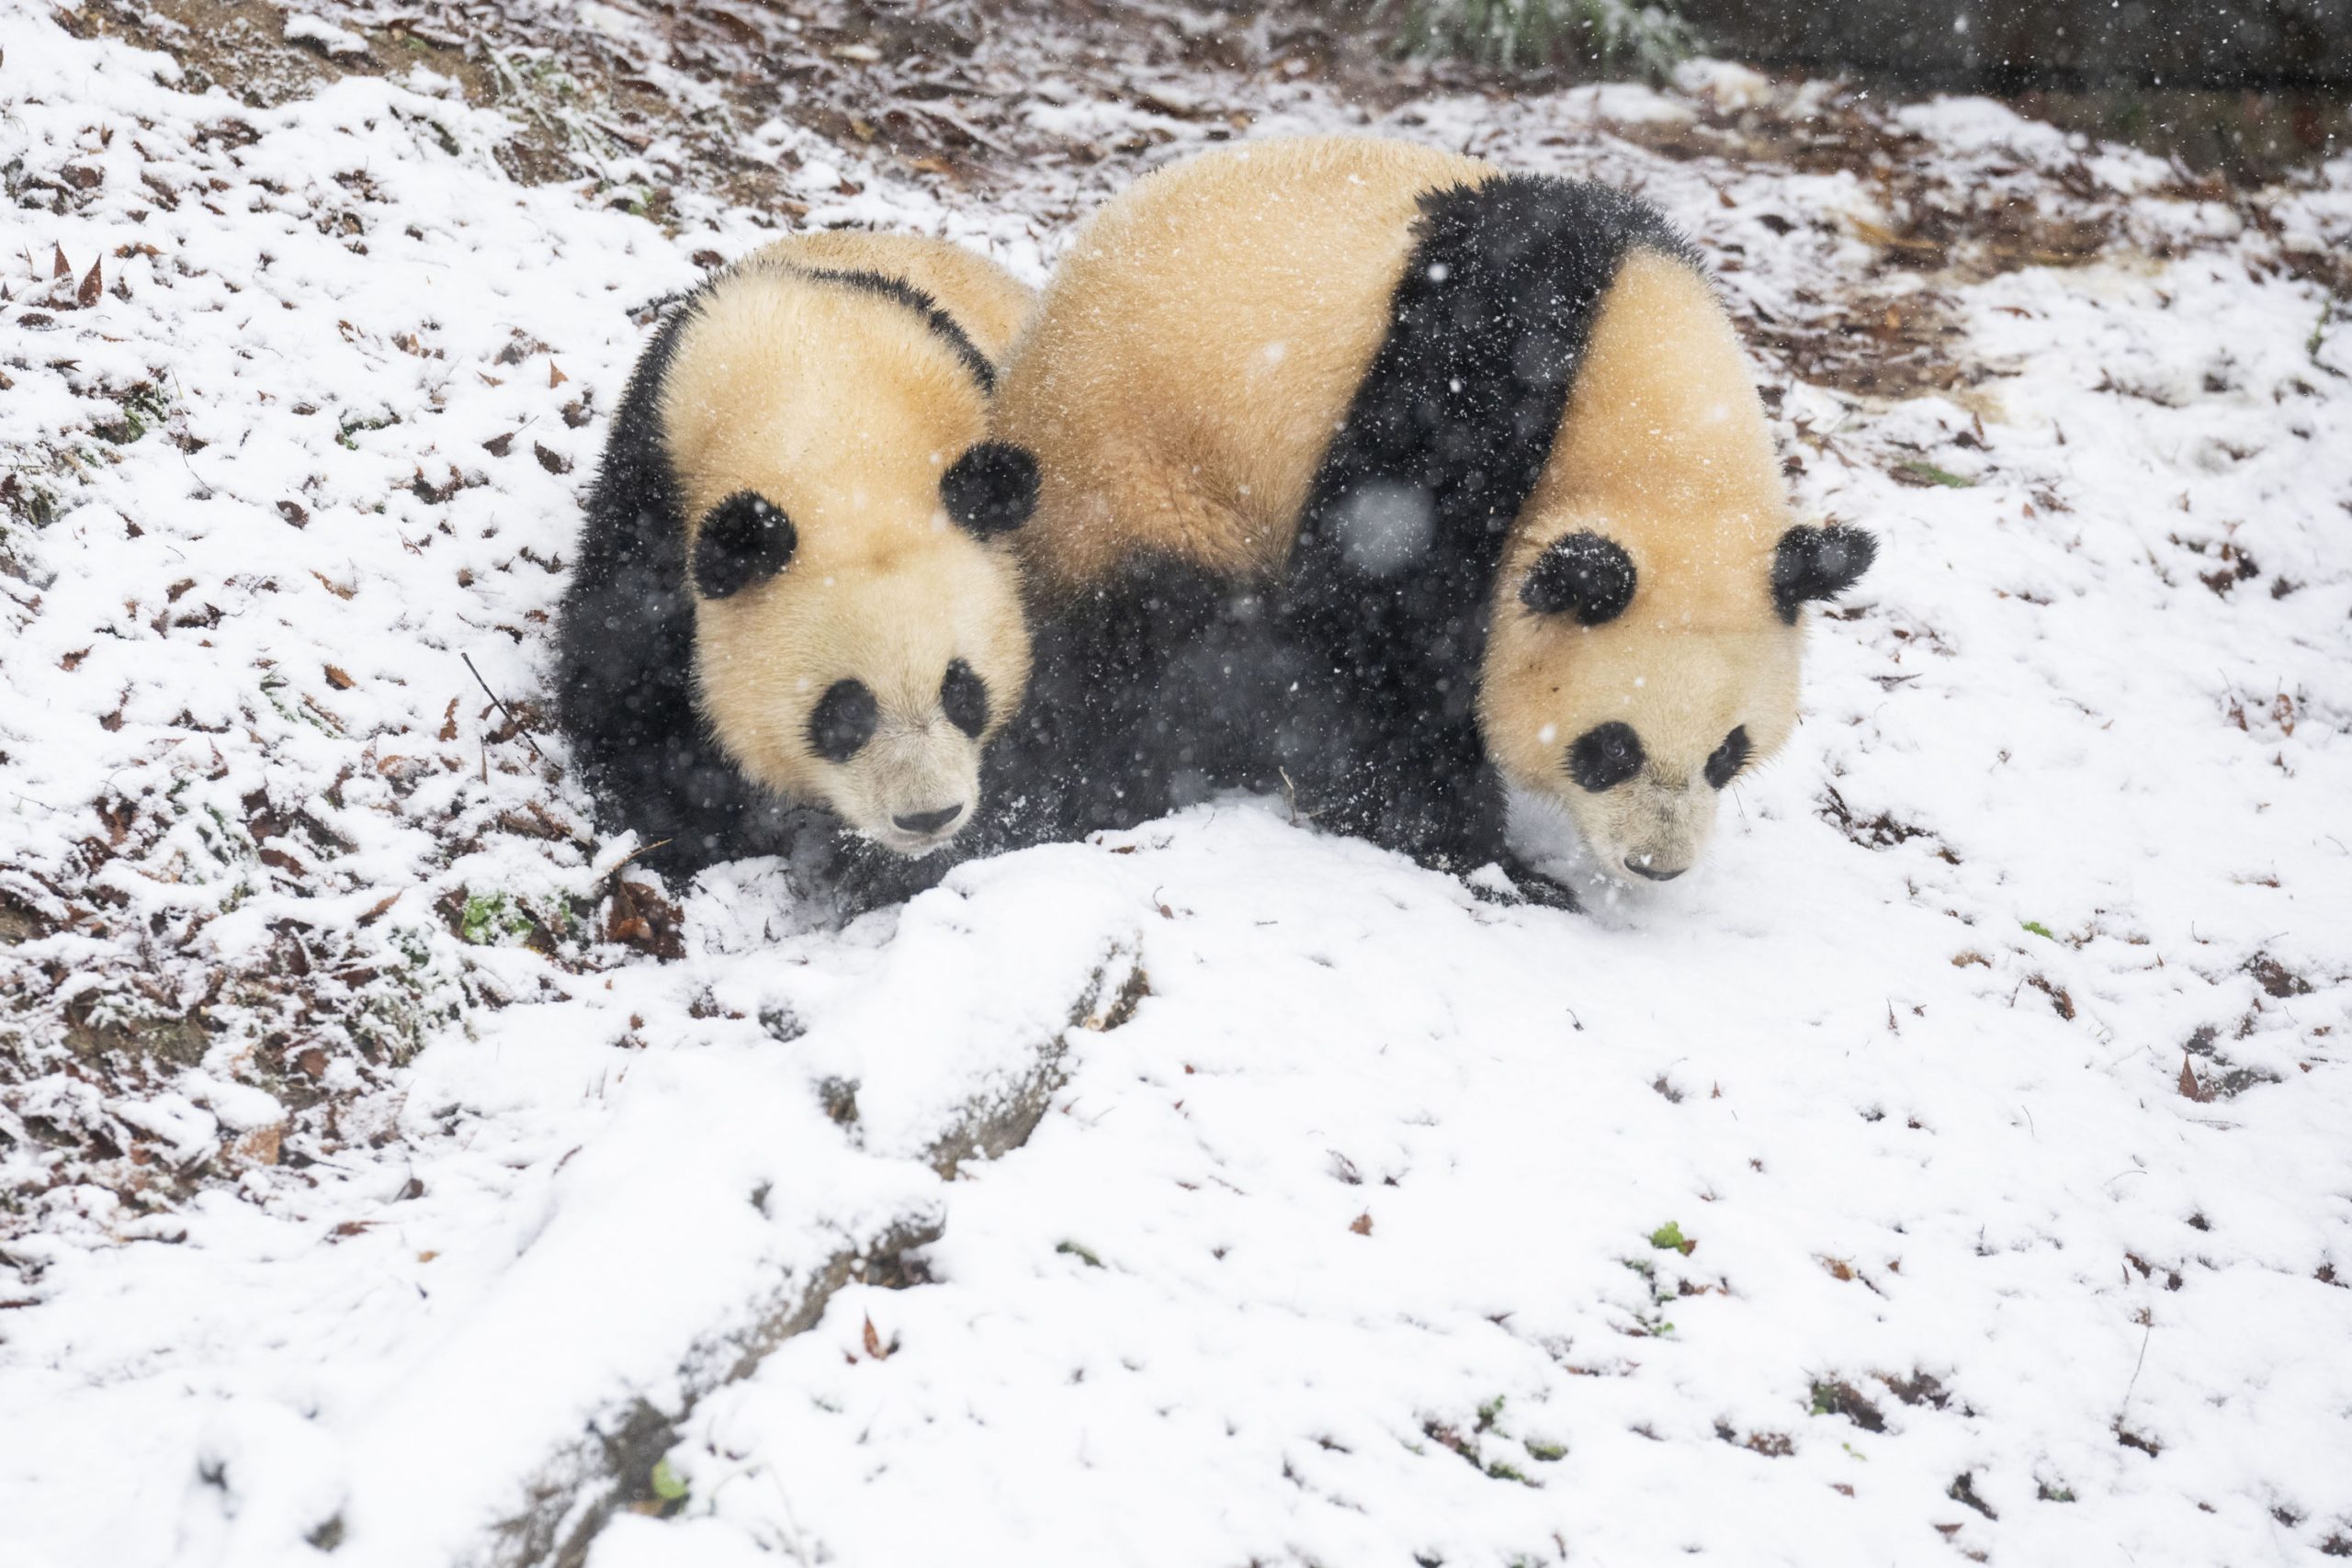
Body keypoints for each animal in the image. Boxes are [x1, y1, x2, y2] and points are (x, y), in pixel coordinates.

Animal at [555, 234, 1044, 893]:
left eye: (964, 690)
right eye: (844, 711)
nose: (928, 816)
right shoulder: (654, 473)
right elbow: (625, 671)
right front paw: (693, 832)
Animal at [988, 136, 1871, 907]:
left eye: (1729, 751)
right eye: (1610, 746)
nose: (1655, 864)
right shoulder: (1459, 392)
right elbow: (1377, 639)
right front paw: (1491, 861)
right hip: (1141, 481)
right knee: (1148, 657)